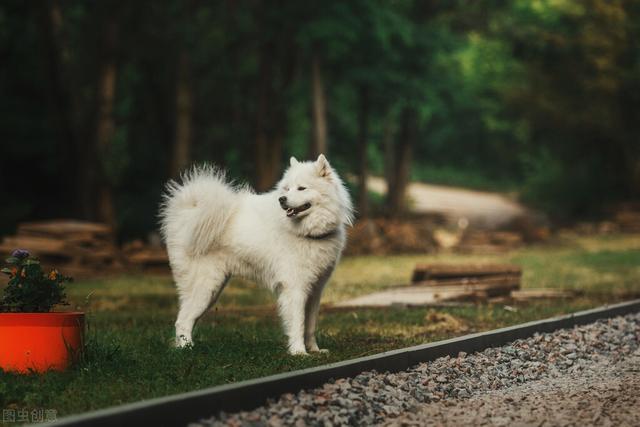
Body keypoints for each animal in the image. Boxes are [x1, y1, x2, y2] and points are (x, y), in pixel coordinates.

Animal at [158, 155, 352, 356]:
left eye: (301, 188)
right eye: (287, 189)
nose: (282, 199)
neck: (306, 233)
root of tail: (188, 211)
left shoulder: (315, 290)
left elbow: (310, 325)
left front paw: (314, 350)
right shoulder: (295, 289)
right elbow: (298, 324)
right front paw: (299, 352)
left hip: (212, 290)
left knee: (188, 317)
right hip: (205, 286)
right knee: (183, 320)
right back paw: (186, 349)